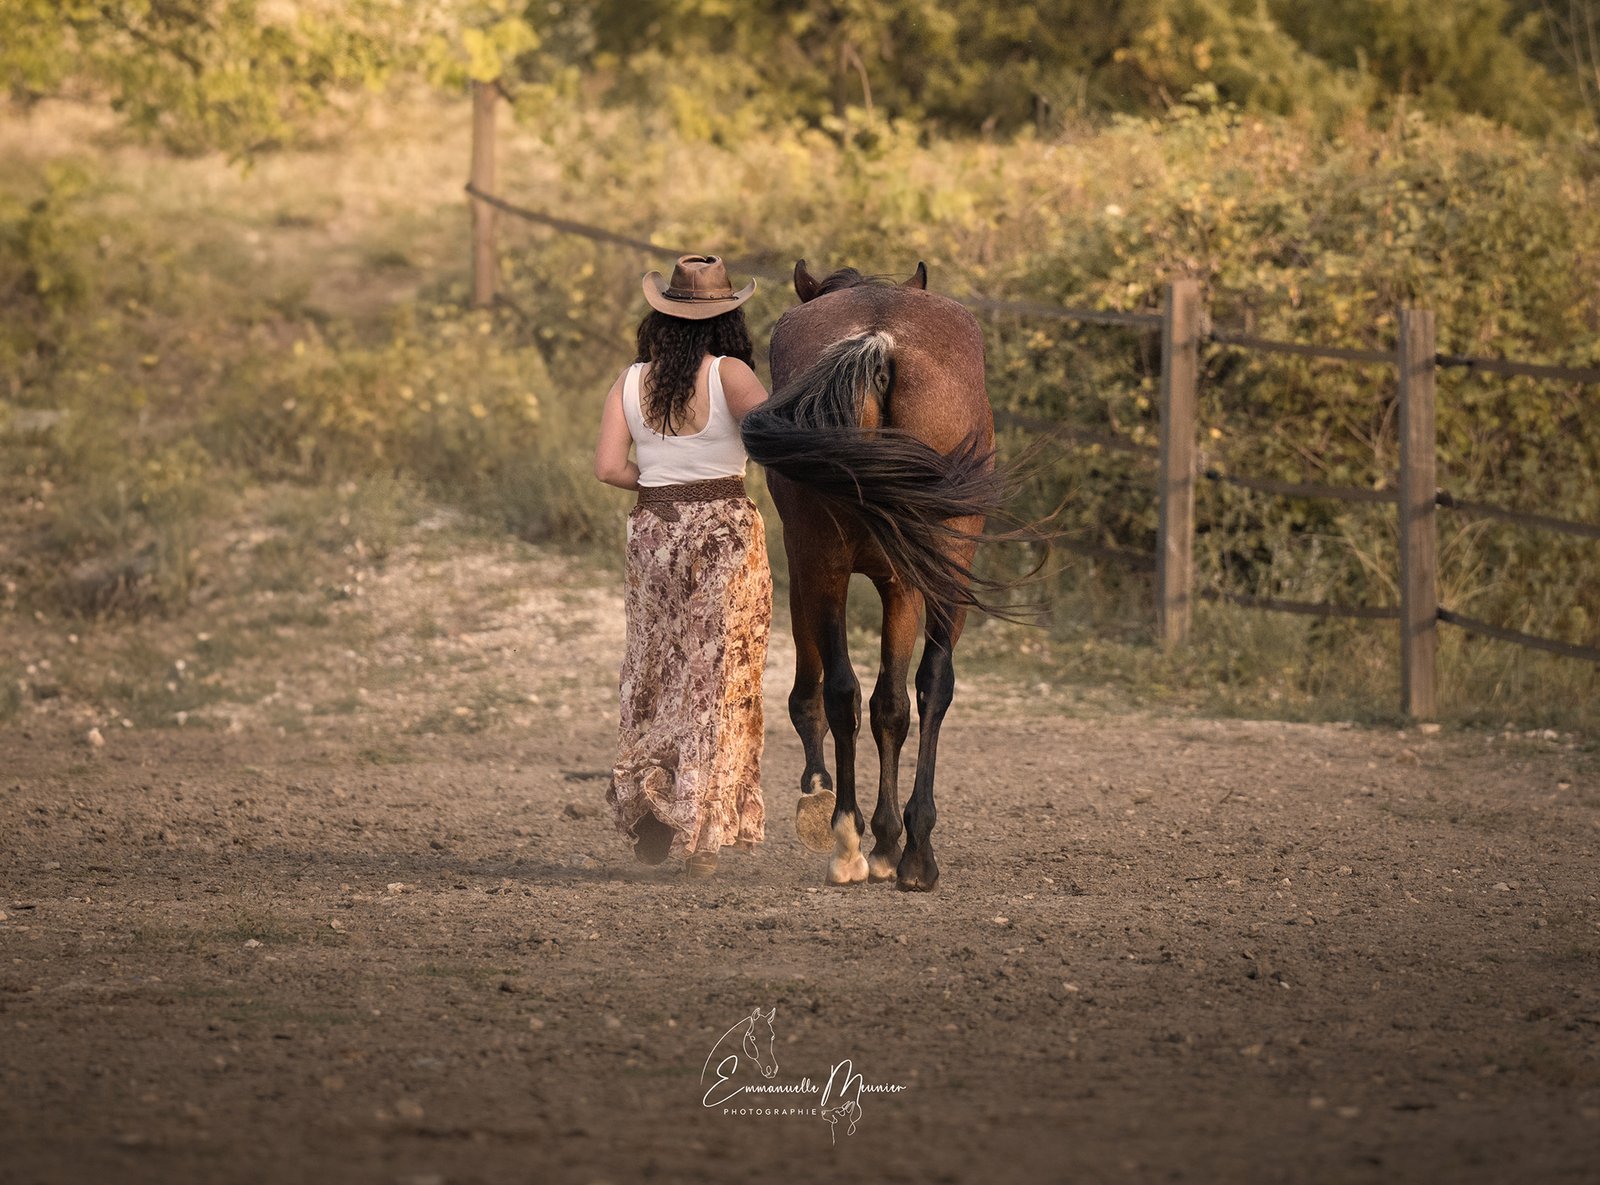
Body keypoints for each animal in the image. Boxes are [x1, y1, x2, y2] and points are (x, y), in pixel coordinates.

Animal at [739, 259, 1011, 889]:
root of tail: (880, 343)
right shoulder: (895, 580)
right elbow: (893, 700)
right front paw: (888, 837)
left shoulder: (808, 566)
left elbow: (816, 693)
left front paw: (829, 805)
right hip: (940, 563)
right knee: (927, 685)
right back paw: (912, 851)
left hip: (833, 563)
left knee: (850, 691)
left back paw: (851, 837)